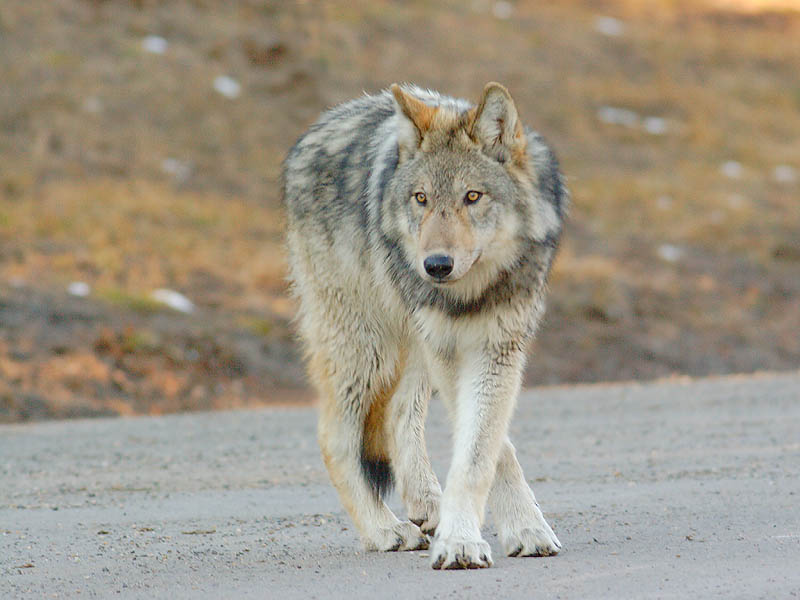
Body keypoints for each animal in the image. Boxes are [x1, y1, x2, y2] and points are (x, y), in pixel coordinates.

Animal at [282, 82, 566, 570]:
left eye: (472, 196)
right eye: (421, 199)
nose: (435, 265)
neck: (469, 296)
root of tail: (315, 129)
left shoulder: (497, 347)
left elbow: (482, 449)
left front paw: (520, 529)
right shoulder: (451, 350)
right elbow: (493, 450)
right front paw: (464, 541)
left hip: (413, 345)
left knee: (397, 414)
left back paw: (427, 505)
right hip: (368, 347)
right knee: (334, 435)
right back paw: (383, 530)